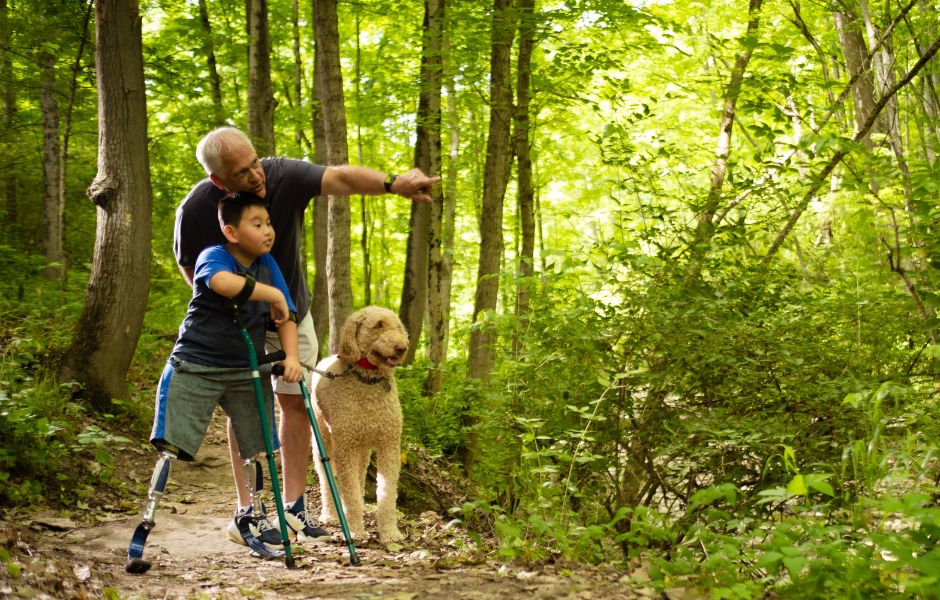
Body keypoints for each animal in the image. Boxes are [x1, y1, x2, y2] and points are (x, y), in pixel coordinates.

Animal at [312, 308, 408, 540]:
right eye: (379, 325)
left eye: (398, 327)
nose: (402, 348)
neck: (368, 381)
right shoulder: (345, 448)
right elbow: (349, 491)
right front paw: (355, 530)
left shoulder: (389, 446)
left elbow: (387, 492)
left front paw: (390, 533)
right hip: (322, 440)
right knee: (326, 479)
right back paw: (330, 514)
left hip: (362, 449)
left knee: (360, 475)